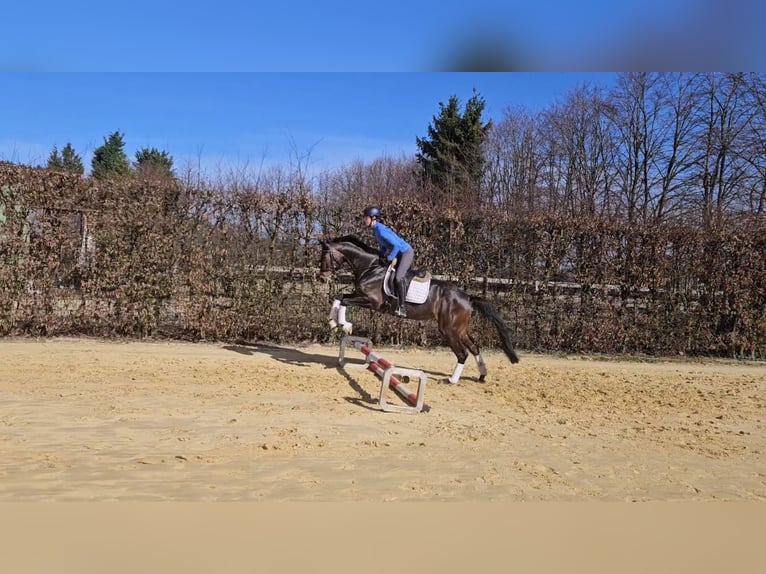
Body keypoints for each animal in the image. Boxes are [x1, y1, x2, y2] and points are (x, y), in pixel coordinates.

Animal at [316, 236, 520, 384]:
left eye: (324, 256)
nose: (321, 278)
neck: (370, 268)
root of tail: (468, 297)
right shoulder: (359, 296)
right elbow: (339, 297)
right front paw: (333, 322)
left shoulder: (371, 302)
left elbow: (344, 300)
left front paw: (345, 324)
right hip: (459, 329)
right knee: (474, 347)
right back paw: (482, 375)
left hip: (449, 329)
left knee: (463, 353)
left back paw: (452, 380)